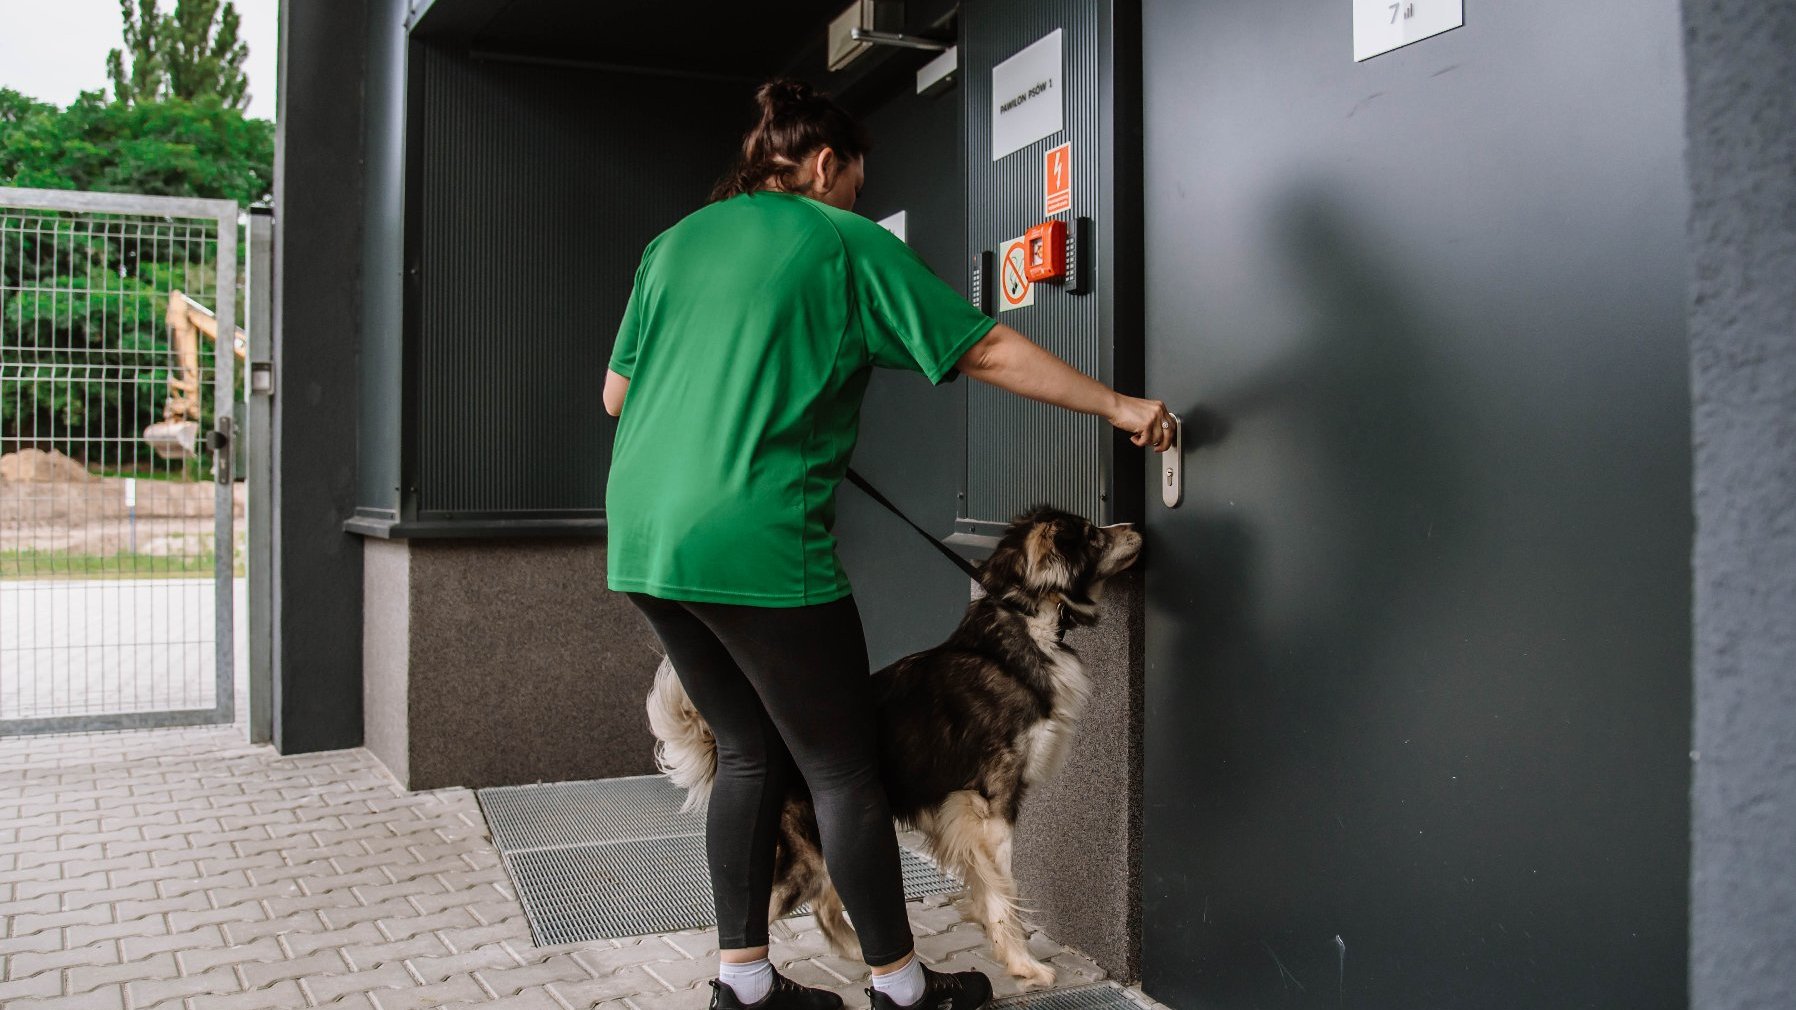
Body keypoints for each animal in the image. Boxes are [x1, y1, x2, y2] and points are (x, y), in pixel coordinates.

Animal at [653, 503, 1142, 984]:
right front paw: (1023, 962)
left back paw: (861, 953)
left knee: (825, 904)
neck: (1026, 622)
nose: (1136, 526)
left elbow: (988, 885)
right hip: (805, 856)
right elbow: (1006, 889)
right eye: (1092, 535)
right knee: (753, 918)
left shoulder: (963, 812)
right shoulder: (994, 800)